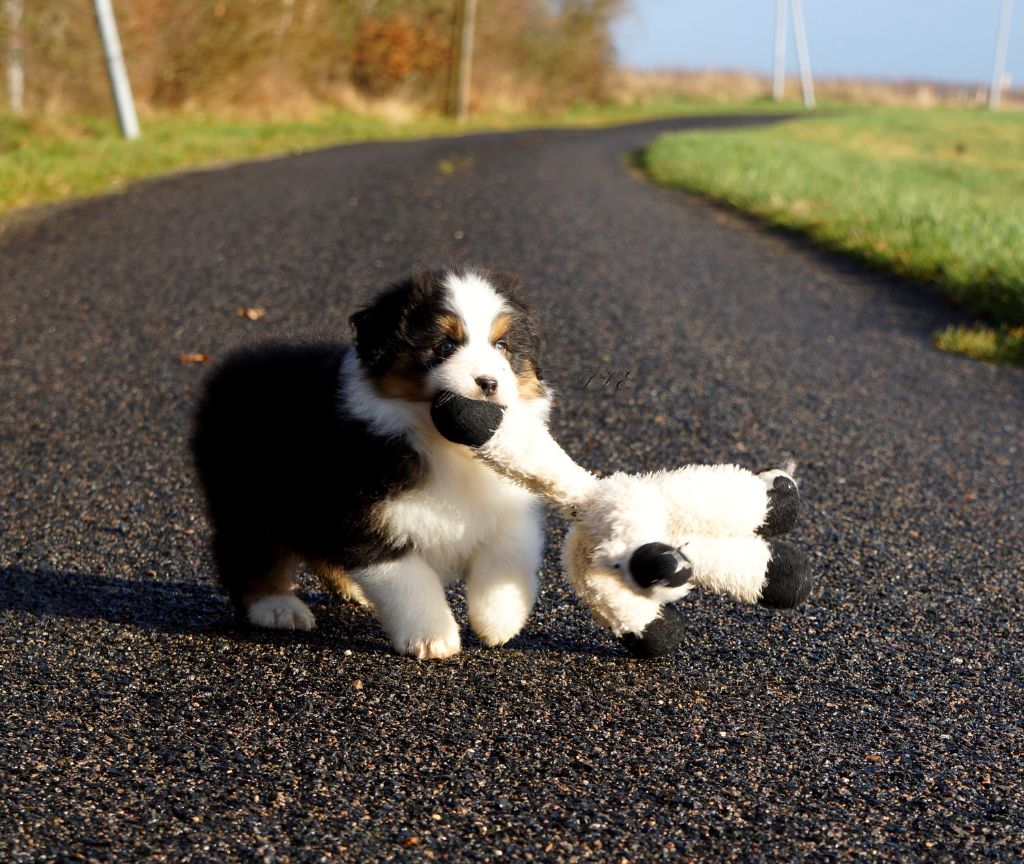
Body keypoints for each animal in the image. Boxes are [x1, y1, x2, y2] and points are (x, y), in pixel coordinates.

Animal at [191, 268, 550, 658]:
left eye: (502, 346)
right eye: (445, 346)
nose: (488, 383)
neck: (444, 448)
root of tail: (231, 365)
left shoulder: (507, 503)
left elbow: (509, 552)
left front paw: (498, 620)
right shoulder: (367, 515)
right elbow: (408, 580)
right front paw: (432, 636)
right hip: (248, 492)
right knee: (252, 550)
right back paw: (276, 606)